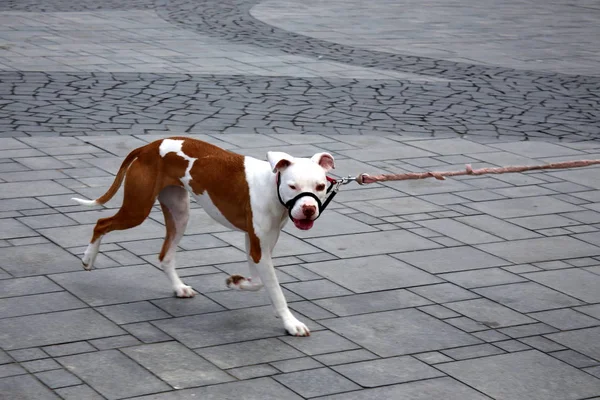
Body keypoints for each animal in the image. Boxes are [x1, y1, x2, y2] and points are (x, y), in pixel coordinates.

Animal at [72, 136, 336, 336]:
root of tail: (148, 147)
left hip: (179, 213)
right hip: (137, 209)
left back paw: (179, 288)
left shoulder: (258, 243)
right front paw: (291, 323)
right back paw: (87, 259)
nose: (308, 209)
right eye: (292, 186)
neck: (273, 187)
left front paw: (237, 282)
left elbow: (259, 282)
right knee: (102, 223)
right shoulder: (258, 246)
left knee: (165, 255)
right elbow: (273, 288)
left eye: (320, 186)